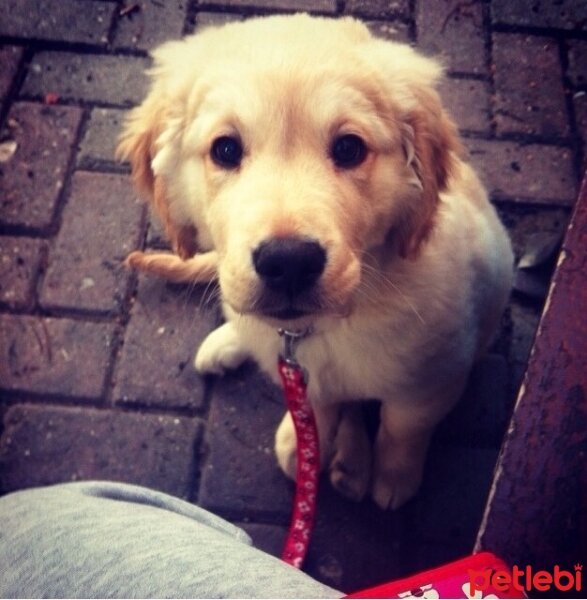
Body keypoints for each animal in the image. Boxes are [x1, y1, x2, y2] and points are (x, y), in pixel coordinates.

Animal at [119, 14, 516, 508]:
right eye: (225, 149)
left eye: (349, 148)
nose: (288, 262)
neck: (319, 330)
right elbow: (320, 409)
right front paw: (307, 444)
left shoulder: (436, 376)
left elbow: (402, 426)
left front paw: (395, 476)